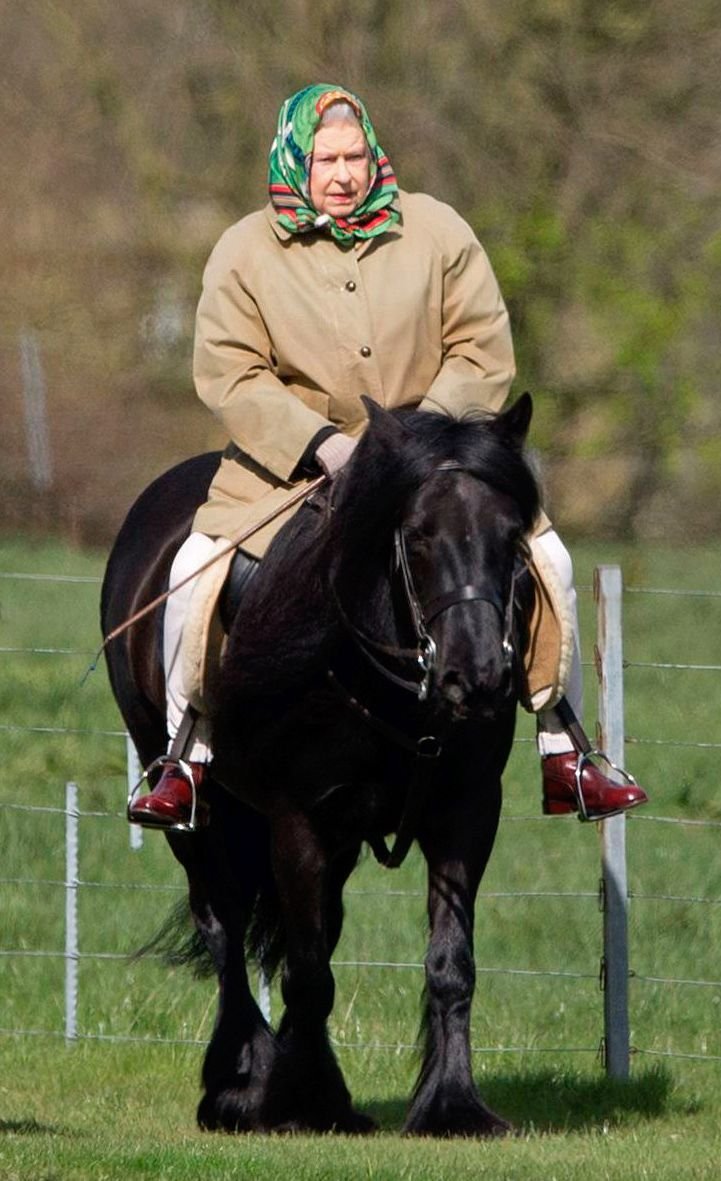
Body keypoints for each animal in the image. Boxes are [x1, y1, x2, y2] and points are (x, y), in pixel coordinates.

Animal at [101, 394, 538, 1133]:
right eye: (417, 535)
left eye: (512, 535)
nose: (476, 676)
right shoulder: (297, 819)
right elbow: (306, 970)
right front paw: (302, 1100)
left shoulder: (465, 812)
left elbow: (450, 962)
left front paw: (452, 1104)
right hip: (197, 816)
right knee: (221, 927)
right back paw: (239, 1082)